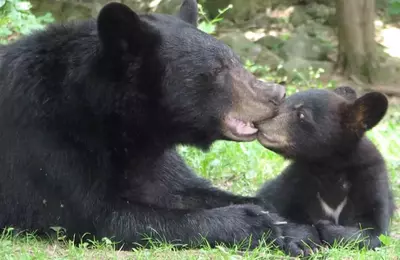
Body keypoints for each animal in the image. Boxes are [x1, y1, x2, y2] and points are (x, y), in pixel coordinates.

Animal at [0, 0, 310, 252]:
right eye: (219, 70)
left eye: (236, 60)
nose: (277, 94)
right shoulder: (46, 144)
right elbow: (101, 216)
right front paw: (257, 225)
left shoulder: (151, 157)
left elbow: (182, 189)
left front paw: (291, 227)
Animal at [256, 87, 394, 250]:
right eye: (283, 104)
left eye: (302, 114)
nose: (259, 121)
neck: (328, 168)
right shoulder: (297, 180)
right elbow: (276, 211)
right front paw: (303, 243)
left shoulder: (371, 178)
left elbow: (374, 231)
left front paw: (323, 226)